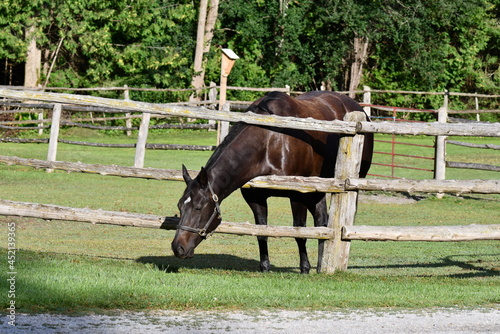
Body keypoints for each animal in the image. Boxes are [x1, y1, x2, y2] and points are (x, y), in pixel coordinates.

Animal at [171, 90, 372, 274]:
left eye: (198, 207)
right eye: (180, 206)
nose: (178, 247)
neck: (269, 141)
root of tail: (357, 108)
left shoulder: (297, 194)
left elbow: (299, 232)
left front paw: (304, 268)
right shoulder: (255, 197)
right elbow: (262, 232)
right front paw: (265, 267)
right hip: (316, 191)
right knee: (322, 223)